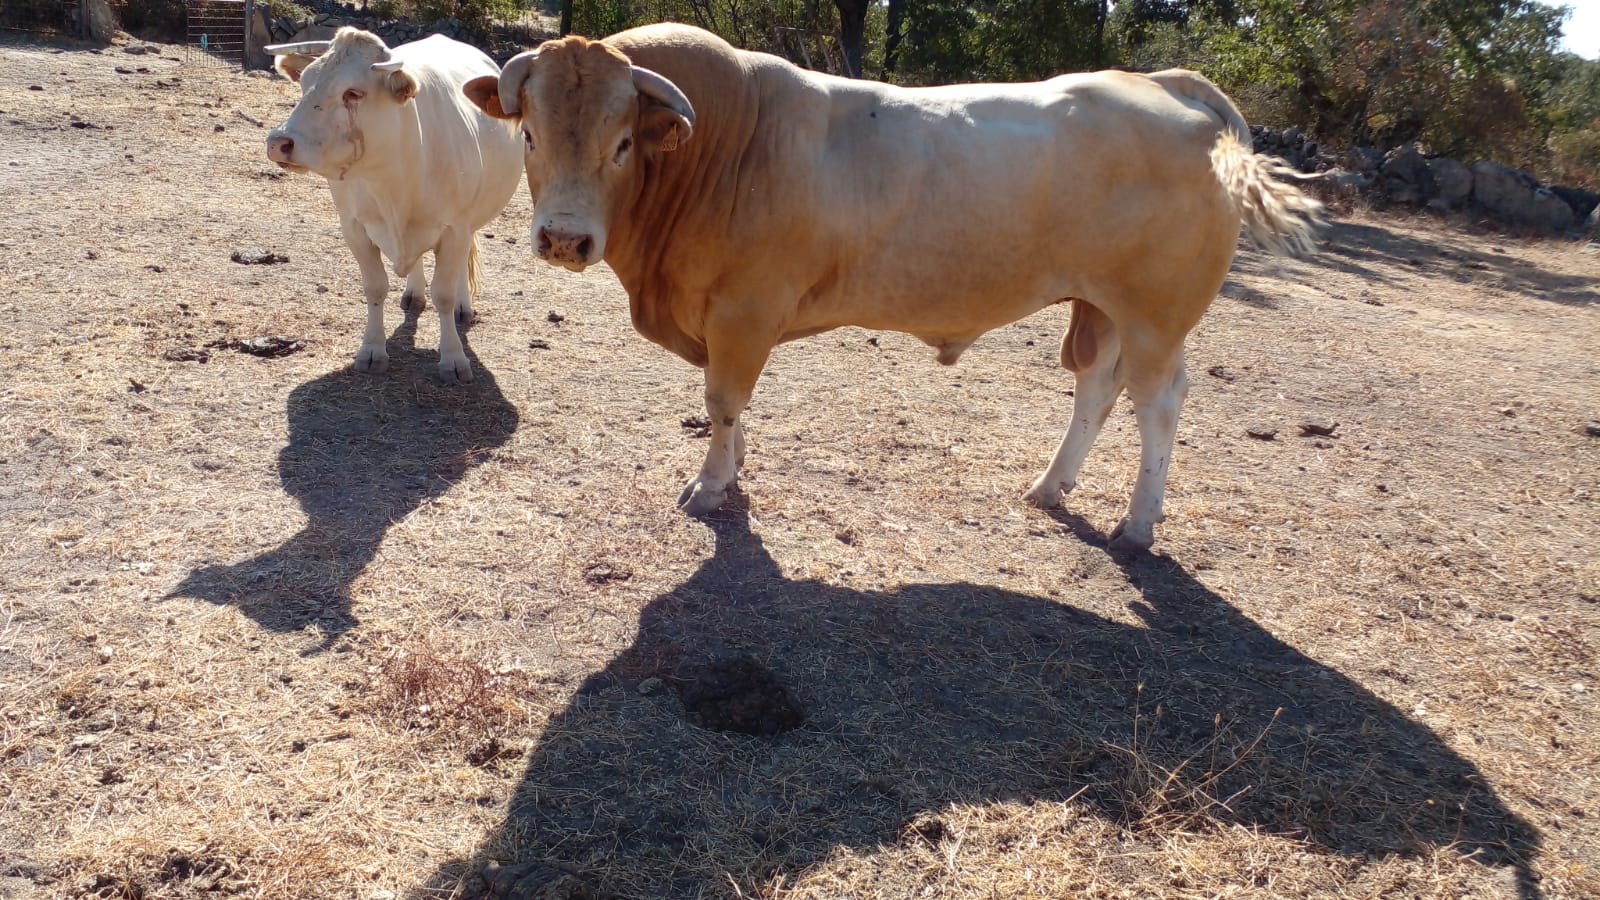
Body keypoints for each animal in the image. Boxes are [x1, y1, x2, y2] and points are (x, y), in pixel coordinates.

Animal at [265, 28, 523, 383]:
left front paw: (453, 357)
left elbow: (443, 293)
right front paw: (372, 349)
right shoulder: (354, 227)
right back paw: (414, 293)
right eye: (304, 83)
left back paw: (463, 306)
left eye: (353, 93)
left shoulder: (456, 228)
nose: (278, 142)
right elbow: (375, 287)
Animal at [464, 23, 1324, 550]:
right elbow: (731, 408)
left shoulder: (745, 314)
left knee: (1160, 402)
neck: (724, 149)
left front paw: (711, 485)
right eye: (529, 133)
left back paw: (1139, 524)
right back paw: (1051, 487)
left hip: (1155, 316)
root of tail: (1168, 86)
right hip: (1100, 308)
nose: (565, 238)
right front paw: (733, 468)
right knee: (1098, 390)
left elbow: (723, 400)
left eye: (620, 144)